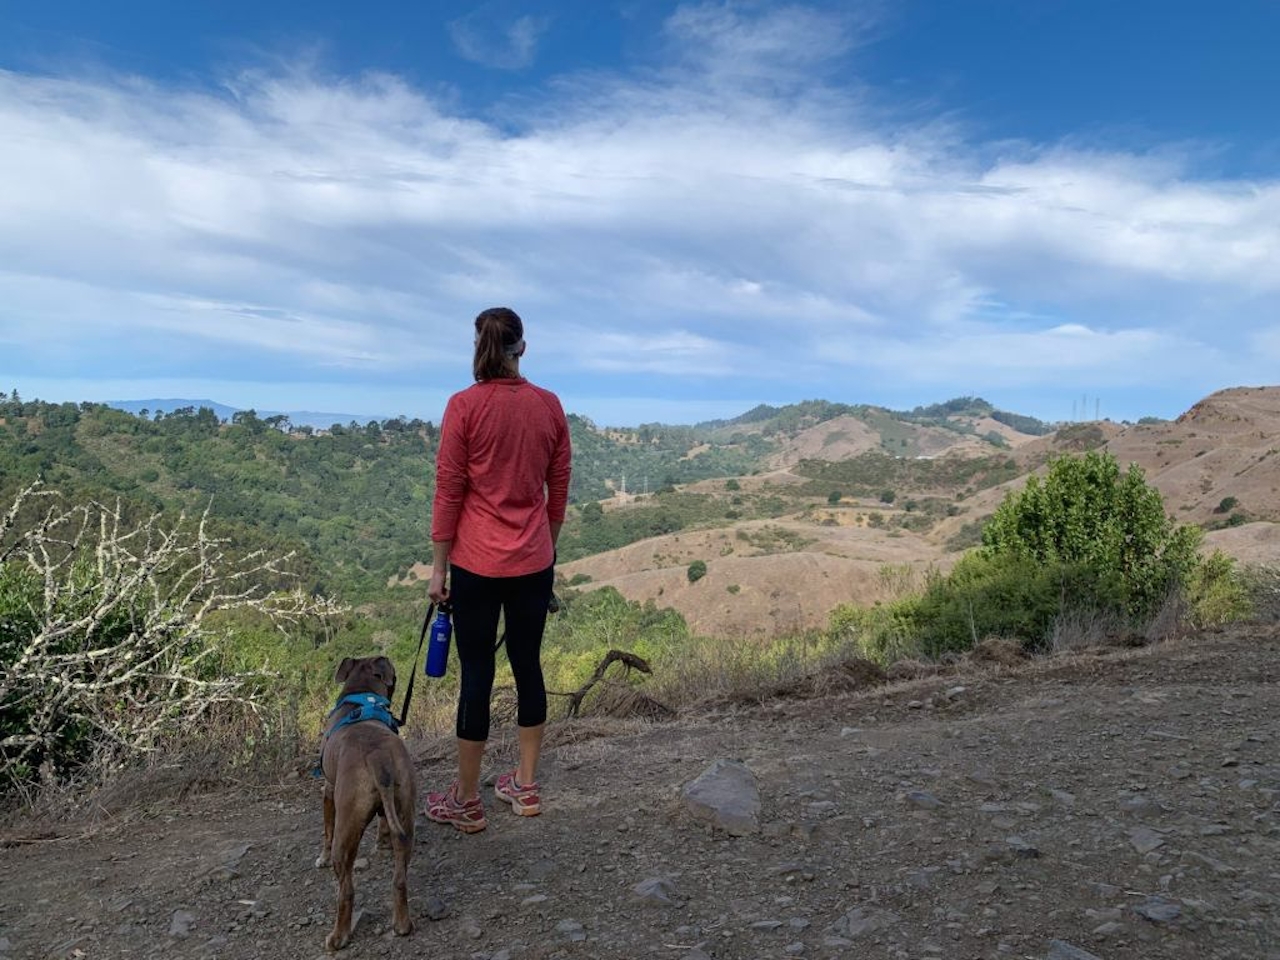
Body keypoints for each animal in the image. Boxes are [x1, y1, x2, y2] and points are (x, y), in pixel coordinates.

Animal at [314, 660, 414, 952]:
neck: (361, 695)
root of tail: (377, 757)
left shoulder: (328, 790)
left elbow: (326, 830)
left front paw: (321, 858)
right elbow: (383, 824)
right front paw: (381, 843)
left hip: (346, 832)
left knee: (346, 891)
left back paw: (338, 937)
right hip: (405, 813)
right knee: (399, 879)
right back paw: (402, 924)